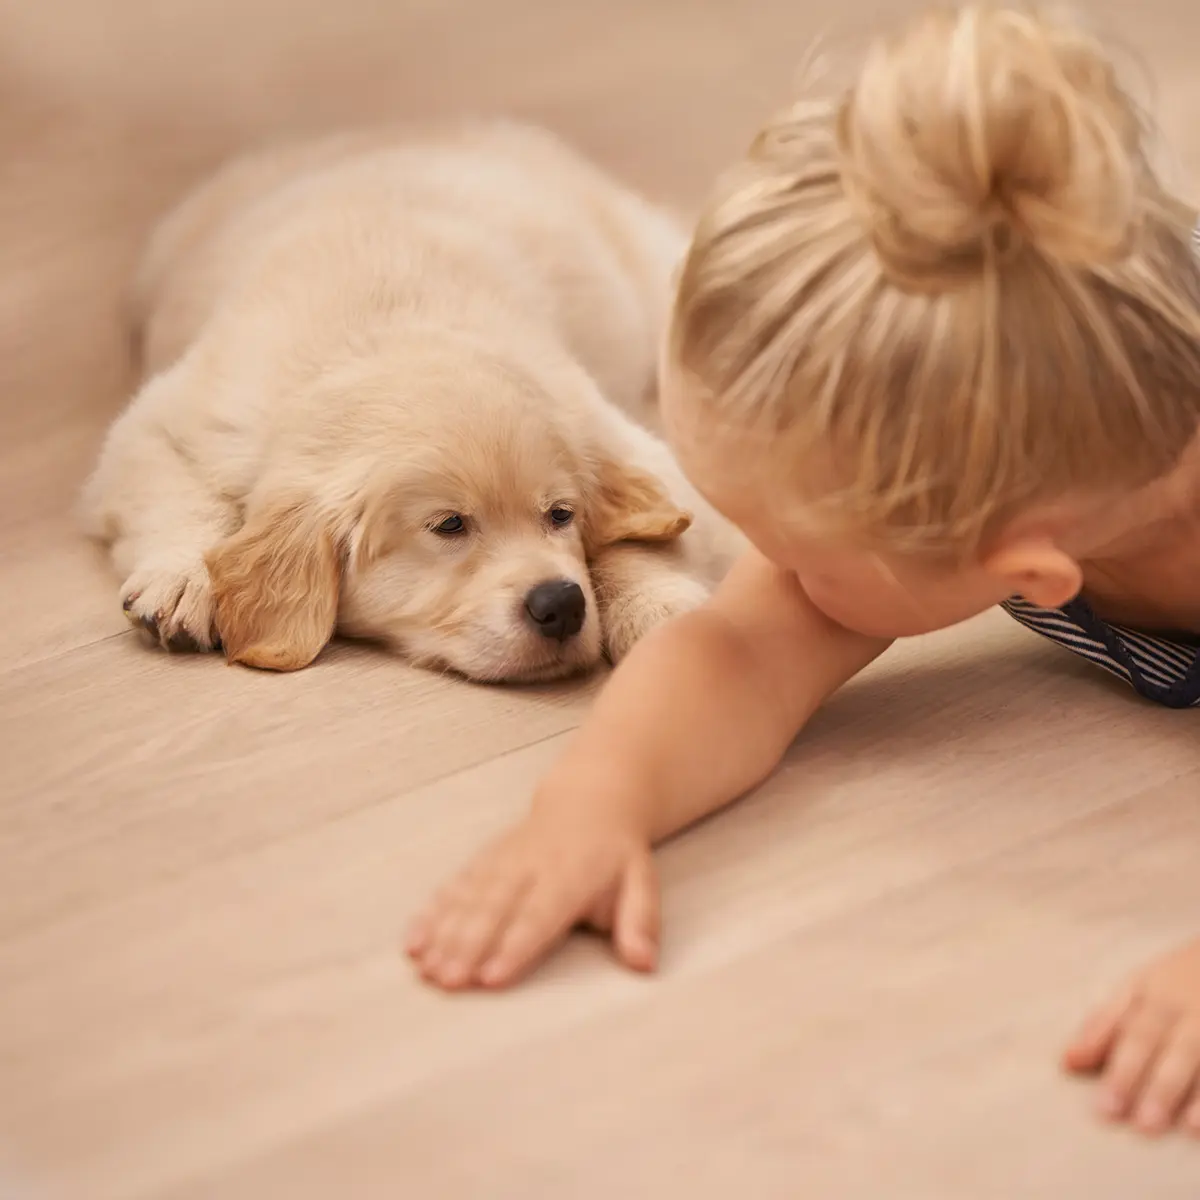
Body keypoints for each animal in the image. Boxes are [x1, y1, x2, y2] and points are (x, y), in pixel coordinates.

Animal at [84, 124, 739, 686]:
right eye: (449, 526)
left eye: (561, 515)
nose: (560, 604)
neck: (392, 335)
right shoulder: (167, 421)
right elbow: (181, 495)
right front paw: (179, 577)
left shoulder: (612, 428)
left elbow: (643, 535)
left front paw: (660, 609)